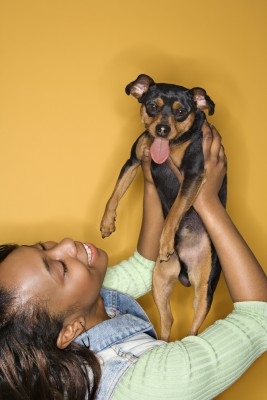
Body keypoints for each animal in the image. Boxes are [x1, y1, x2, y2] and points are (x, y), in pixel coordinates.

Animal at [100, 74, 226, 340]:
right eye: (152, 106)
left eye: (181, 112)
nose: (162, 129)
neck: (172, 144)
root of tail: (183, 270)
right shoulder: (134, 161)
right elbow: (115, 193)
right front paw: (106, 223)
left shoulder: (193, 175)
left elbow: (176, 210)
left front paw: (166, 243)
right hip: (159, 282)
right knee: (168, 319)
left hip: (205, 287)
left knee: (193, 329)